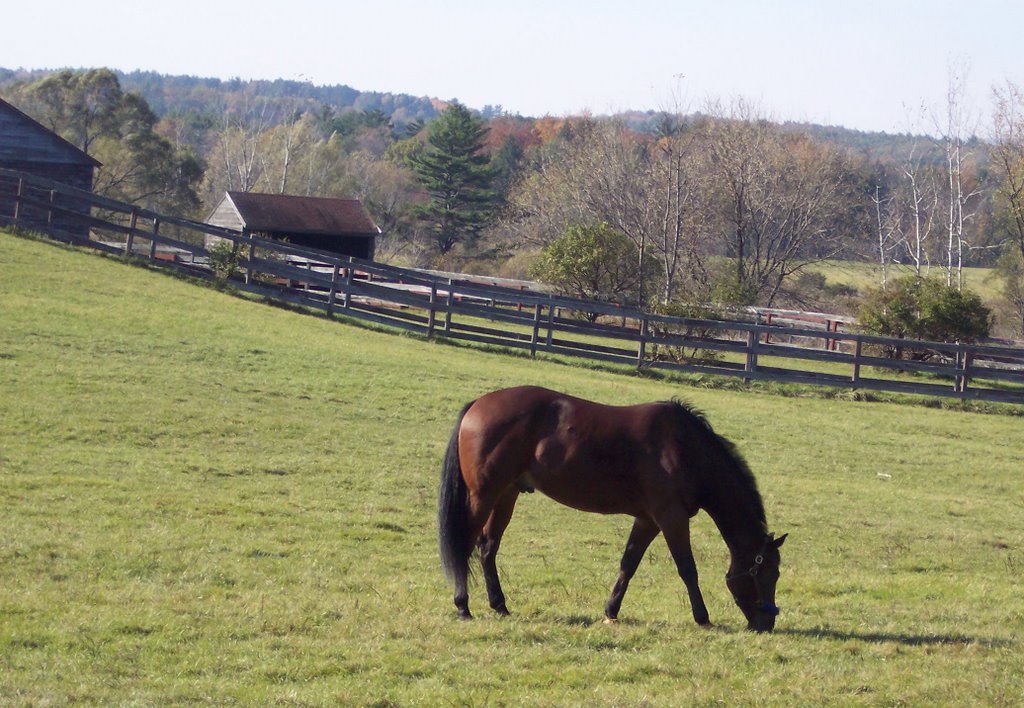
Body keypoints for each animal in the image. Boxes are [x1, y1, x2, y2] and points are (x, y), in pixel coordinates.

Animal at [436, 385, 786, 635]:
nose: (767, 624)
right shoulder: (670, 517)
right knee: (465, 544)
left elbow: (628, 564)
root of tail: (477, 405)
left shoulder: (647, 520)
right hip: (483, 495)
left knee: (487, 547)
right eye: (769, 572)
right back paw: (463, 606)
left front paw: (611, 612)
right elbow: (687, 568)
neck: (684, 449)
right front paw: (703, 618)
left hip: (507, 495)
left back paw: (499, 605)